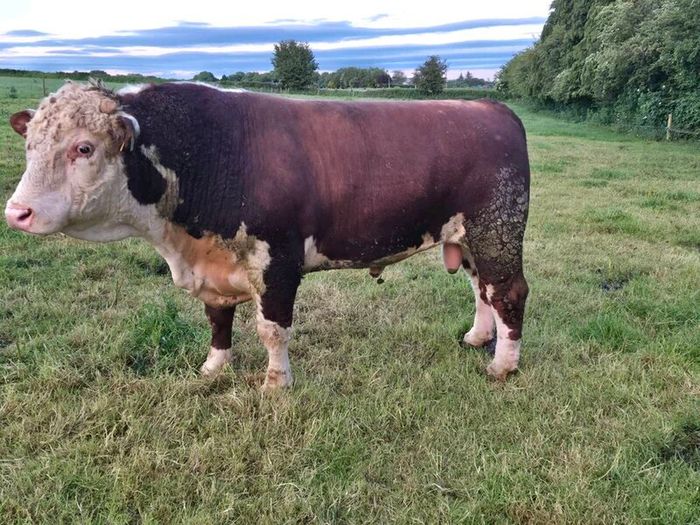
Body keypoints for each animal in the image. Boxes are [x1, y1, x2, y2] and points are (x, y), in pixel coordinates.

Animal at [5, 81, 529, 389]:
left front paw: (276, 384)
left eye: (84, 148)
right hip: (468, 237)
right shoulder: (213, 263)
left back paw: (502, 365)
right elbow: (217, 319)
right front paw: (213, 368)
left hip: (497, 228)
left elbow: (272, 329)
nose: (16, 212)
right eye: (30, 145)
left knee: (508, 292)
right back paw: (478, 337)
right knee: (482, 288)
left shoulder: (278, 260)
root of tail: (490, 106)